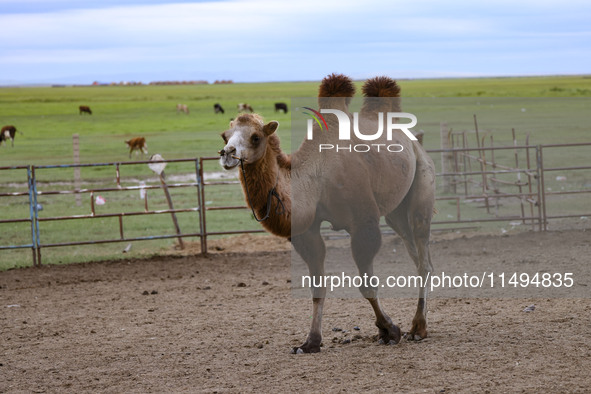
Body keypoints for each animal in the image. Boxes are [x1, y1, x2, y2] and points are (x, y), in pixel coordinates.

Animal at [220, 74, 438, 354]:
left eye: (256, 136)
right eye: (224, 135)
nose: (227, 154)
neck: (317, 177)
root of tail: (412, 139)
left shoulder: (364, 222)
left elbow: (367, 284)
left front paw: (389, 330)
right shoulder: (306, 232)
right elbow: (317, 286)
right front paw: (310, 342)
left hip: (422, 182)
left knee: (423, 257)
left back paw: (418, 328)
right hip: (396, 212)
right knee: (415, 252)